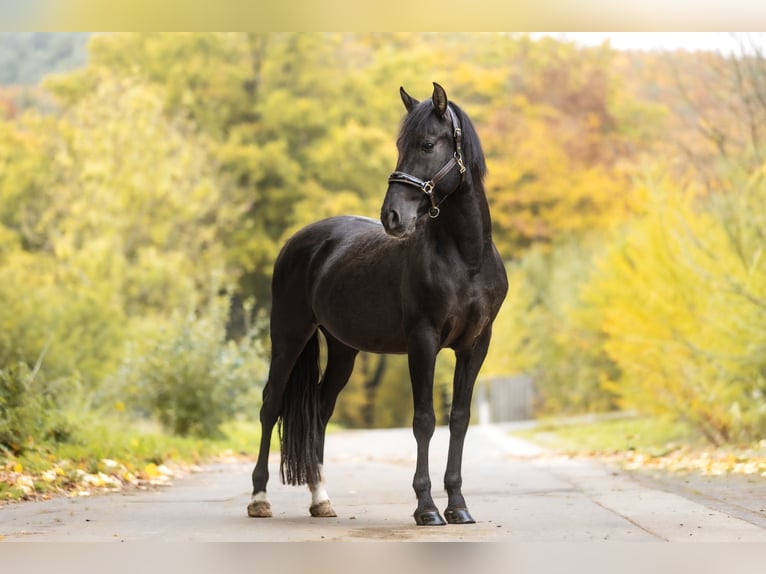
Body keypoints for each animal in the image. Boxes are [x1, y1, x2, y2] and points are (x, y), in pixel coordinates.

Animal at [247, 83, 508, 526]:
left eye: (427, 143)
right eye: (400, 145)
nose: (392, 216)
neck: (466, 258)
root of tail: (298, 240)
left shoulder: (476, 345)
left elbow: (458, 419)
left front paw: (458, 505)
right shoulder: (422, 342)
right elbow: (424, 420)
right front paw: (426, 508)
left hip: (343, 350)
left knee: (320, 410)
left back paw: (321, 500)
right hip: (288, 338)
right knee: (271, 405)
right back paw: (260, 498)